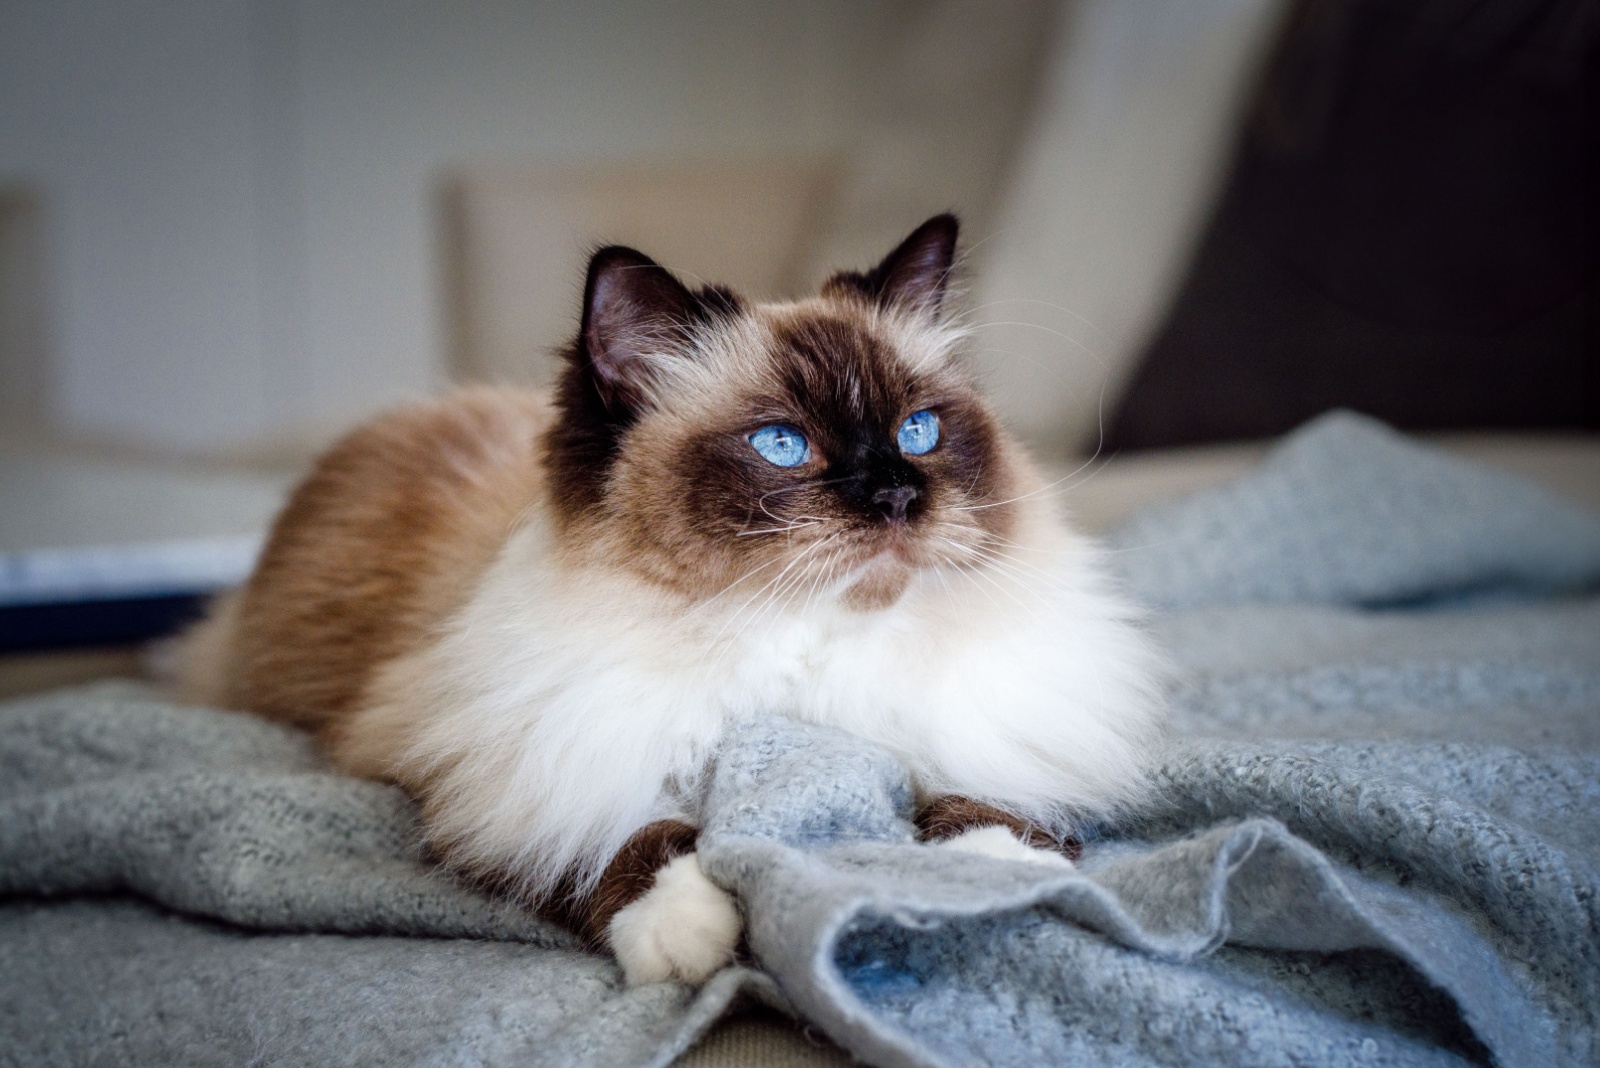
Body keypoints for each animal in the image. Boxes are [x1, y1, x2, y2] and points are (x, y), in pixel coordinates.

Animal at [178, 214, 1164, 984]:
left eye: (917, 432)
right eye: (782, 446)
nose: (895, 496)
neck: (800, 644)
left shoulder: (965, 731)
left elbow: (980, 798)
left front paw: (993, 871)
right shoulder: (504, 773)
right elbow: (626, 840)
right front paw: (684, 929)